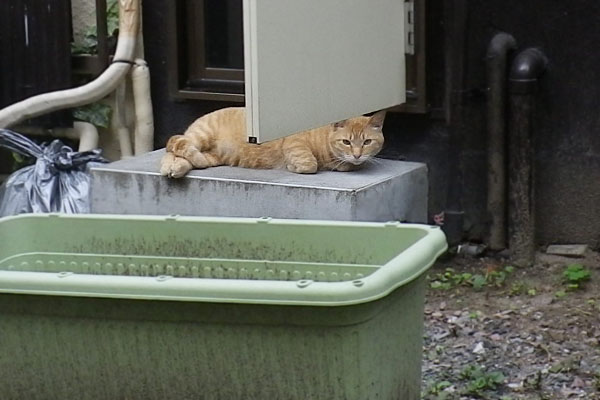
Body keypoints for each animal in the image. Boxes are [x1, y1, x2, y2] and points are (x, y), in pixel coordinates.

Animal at [159, 107, 384, 177]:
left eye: (367, 142)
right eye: (346, 141)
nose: (357, 154)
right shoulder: (294, 142)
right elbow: (309, 163)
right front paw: (295, 167)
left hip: (212, 157)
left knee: (181, 154)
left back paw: (177, 168)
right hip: (201, 136)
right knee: (174, 144)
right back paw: (171, 167)